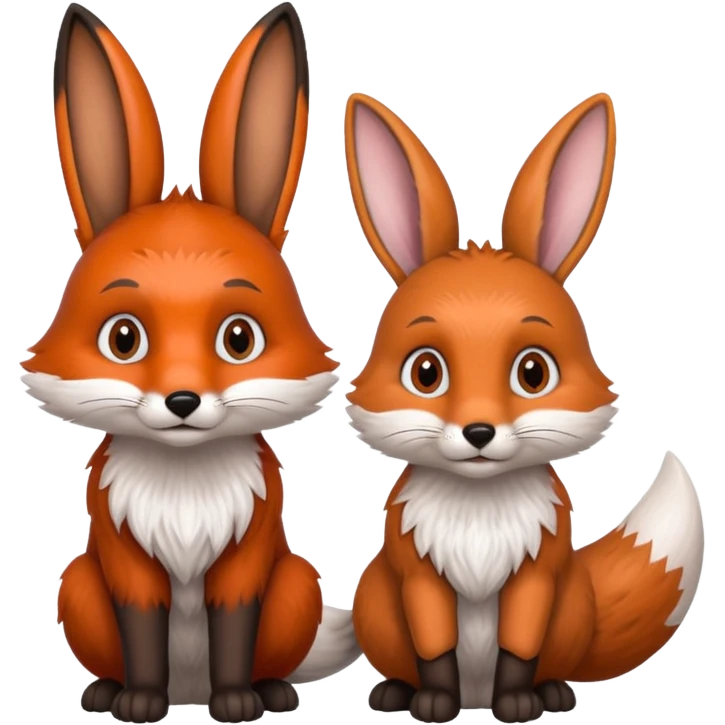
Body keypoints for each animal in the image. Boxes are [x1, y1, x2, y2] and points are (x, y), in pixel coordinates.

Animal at [22, 3, 361, 723]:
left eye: (239, 339)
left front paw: (235, 700)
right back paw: (108, 690)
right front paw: (140, 700)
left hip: (297, 581)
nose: (182, 400)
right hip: (76, 581)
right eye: (124, 339)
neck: (184, 490)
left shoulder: (247, 557)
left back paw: (269, 690)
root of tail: (189, 691)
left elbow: (233, 626)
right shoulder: (123, 557)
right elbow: (142, 628)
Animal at [342, 90, 706, 724]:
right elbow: (435, 648)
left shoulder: (538, 573)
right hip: (375, 600)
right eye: (426, 372)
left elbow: (519, 646)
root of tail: (477, 694)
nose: (479, 431)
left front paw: (517, 701)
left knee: (550, 663)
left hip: (572, 605)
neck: (478, 517)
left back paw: (549, 693)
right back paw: (399, 694)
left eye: (533, 373)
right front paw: (435, 701)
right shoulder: (417, 575)